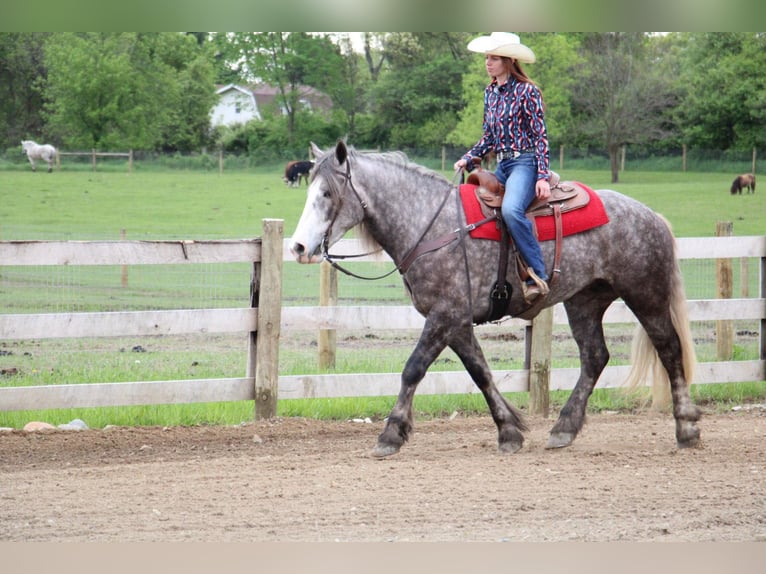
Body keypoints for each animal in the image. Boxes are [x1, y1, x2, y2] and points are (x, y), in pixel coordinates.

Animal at [290, 141, 701, 458]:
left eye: (327, 194)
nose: (298, 248)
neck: (431, 226)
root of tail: (651, 216)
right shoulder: (455, 321)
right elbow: (480, 372)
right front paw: (509, 430)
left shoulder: (444, 316)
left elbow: (413, 369)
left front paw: (391, 434)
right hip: (584, 301)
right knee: (595, 357)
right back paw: (564, 428)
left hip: (645, 294)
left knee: (669, 349)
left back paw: (686, 427)